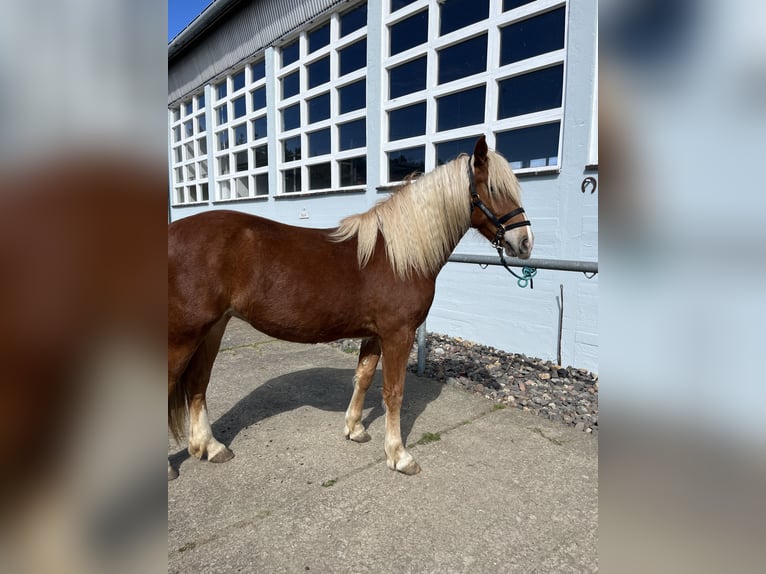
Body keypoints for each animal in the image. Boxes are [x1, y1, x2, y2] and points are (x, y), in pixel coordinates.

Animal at [167, 136, 533, 480]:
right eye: (493, 189)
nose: (525, 243)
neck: (398, 256)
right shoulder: (398, 333)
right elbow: (394, 391)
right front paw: (399, 456)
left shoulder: (375, 334)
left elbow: (365, 378)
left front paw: (355, 429)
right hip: (185, 335)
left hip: (212, 328)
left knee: (198, 383)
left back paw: (210, 447)